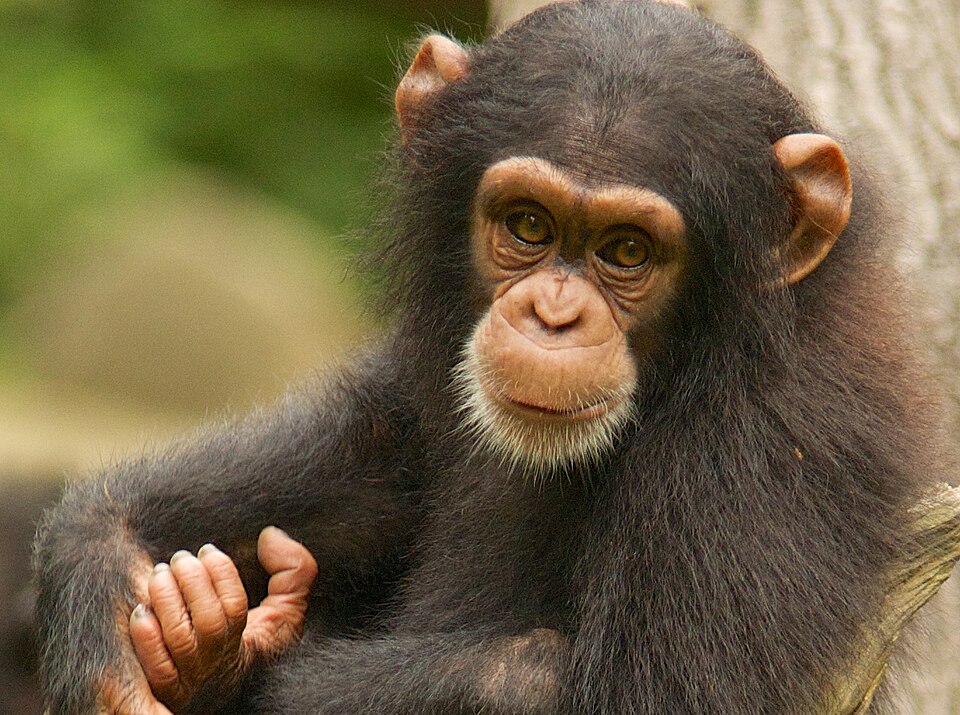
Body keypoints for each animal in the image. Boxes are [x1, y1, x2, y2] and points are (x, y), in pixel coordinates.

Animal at [33, 1, 947, 713]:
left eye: (627, 250)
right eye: (528, 225)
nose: (552, 314)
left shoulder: (757, 462)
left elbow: (617, 692)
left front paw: (228, 665)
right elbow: (378, 442)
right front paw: (104, 563)